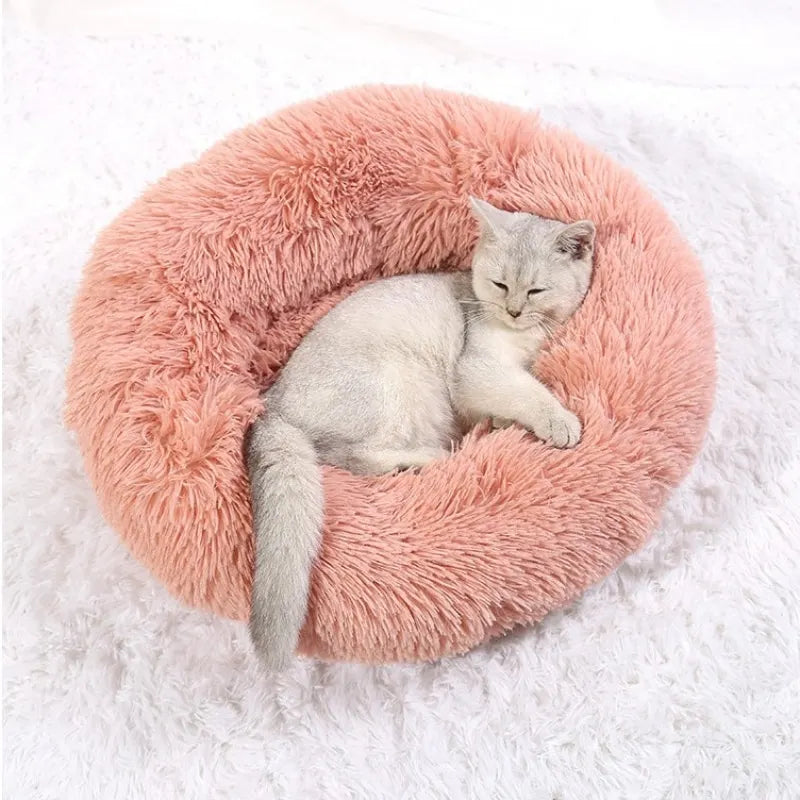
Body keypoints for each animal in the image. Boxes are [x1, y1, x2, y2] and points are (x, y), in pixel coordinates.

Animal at [244, 198, 592, 668]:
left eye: (536, 290)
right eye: (500, 284)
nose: (514, 311)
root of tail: (272, 406)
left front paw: (505, 421)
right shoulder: (477, 370)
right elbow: (526, 391)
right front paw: (557, 420)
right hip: (395, 381)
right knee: (350, 457)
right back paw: (429, 458)